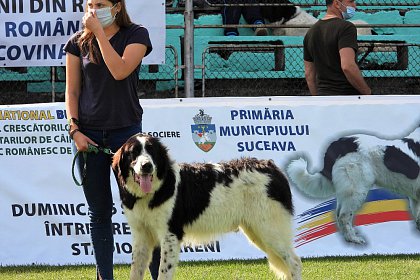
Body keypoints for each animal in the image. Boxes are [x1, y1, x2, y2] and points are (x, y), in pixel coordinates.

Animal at [112, 135, 302, 278]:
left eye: (152, 151)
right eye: (133, 152)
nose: (146, 166)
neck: (156, 189)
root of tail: (273, 168)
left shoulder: (170, 235)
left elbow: (163, 272)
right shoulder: (141, 235)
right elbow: (135, 271)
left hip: (269, 230)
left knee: (294, 262)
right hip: (256, 231)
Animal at [286, 126, 420, 244]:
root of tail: (341, 142)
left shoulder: (415, 197)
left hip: (346, 190)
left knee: (338, 214)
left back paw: (348, 237)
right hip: (356, 190)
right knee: (344, 216)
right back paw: (354, 239)